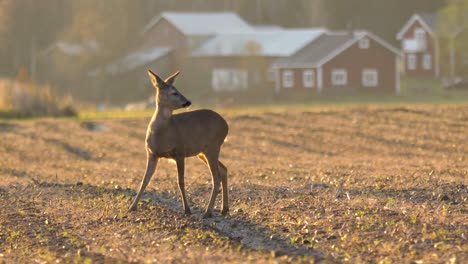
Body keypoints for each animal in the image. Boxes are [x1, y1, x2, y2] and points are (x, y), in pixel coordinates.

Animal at [129, 69, 229, 218]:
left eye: (177, 90)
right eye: (174, 92)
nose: (188, 102)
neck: (164, 132)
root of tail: (226, 125)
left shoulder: (180, 151)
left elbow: (180, 181)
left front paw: (187, 209)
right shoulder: (152, 154)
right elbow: (144, 180)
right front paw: (132, 207)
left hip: (213, 146)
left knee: (216, 178)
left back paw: (208, 212)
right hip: (203, 152)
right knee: (223, 169)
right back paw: (224, 209)